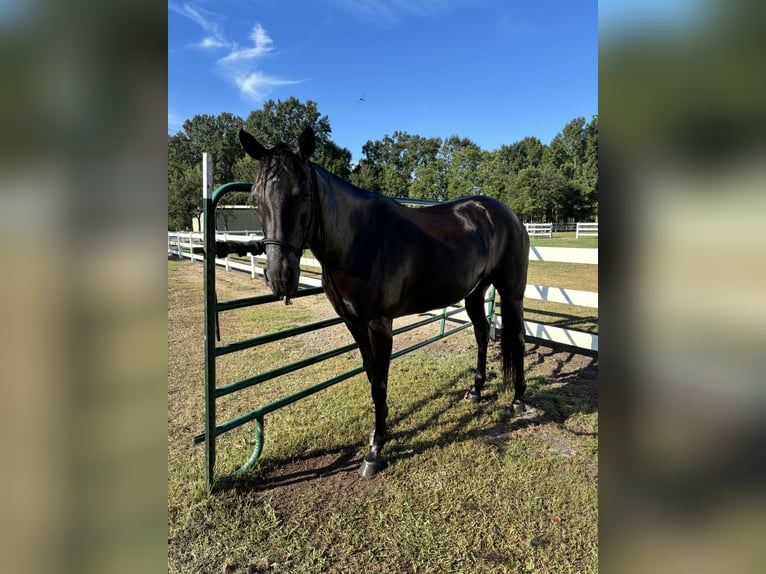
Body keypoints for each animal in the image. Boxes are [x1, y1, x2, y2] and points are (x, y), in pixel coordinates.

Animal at [240, 127, 528, 482]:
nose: (280, 276)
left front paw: (374, 452)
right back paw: (475, 390)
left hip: (512, 293)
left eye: (302, 194)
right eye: (256, 197)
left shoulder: (380, 325)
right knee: (482, 334)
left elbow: (379, 384)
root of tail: (506, 213)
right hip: (475, 293)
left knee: (517, 339)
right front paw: (380, 432)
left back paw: (518, 399)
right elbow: (369, 374)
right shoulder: (354, 324)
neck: (359, 240)